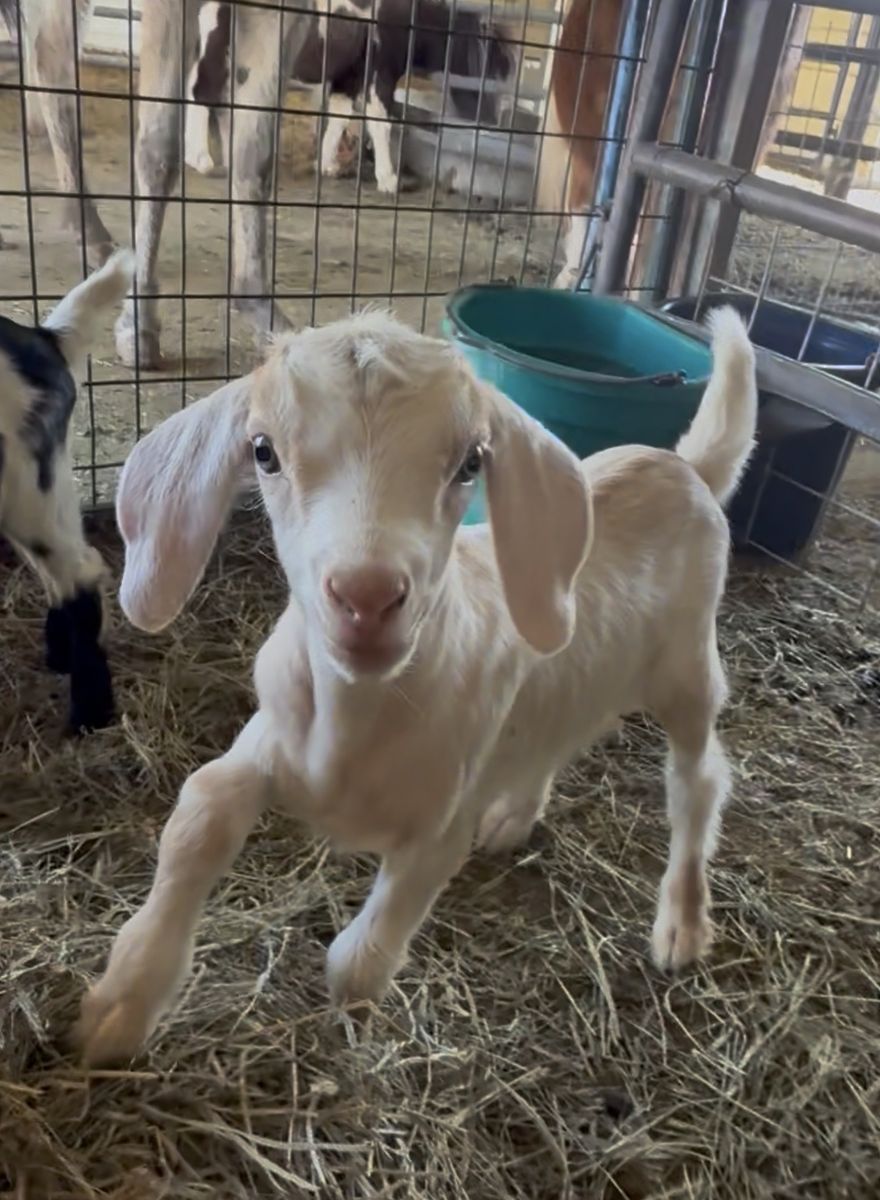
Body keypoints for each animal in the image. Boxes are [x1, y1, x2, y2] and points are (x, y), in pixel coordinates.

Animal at [74, 303, 756, 1064]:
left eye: (471, 463)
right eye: (263, 451)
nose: (366, 597)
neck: (356, 724)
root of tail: (684, 467)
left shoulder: (438, 823)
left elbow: (356, 966)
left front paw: (344, 1028)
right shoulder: (268, 737)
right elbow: (202, 810)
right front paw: (118, 1006)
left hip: (688, 669)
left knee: (698, 780)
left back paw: (683, 923)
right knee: (563, 730)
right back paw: (514, 817)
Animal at [187, 0, 514, 195]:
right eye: (490, 70)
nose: (491, 122)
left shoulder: (348, 78)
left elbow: (338, 117)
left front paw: (327, 165)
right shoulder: (378, 77)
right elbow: (382, 124)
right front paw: (389, 180)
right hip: (214, 52)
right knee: (201, 97)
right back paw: (202, 161)